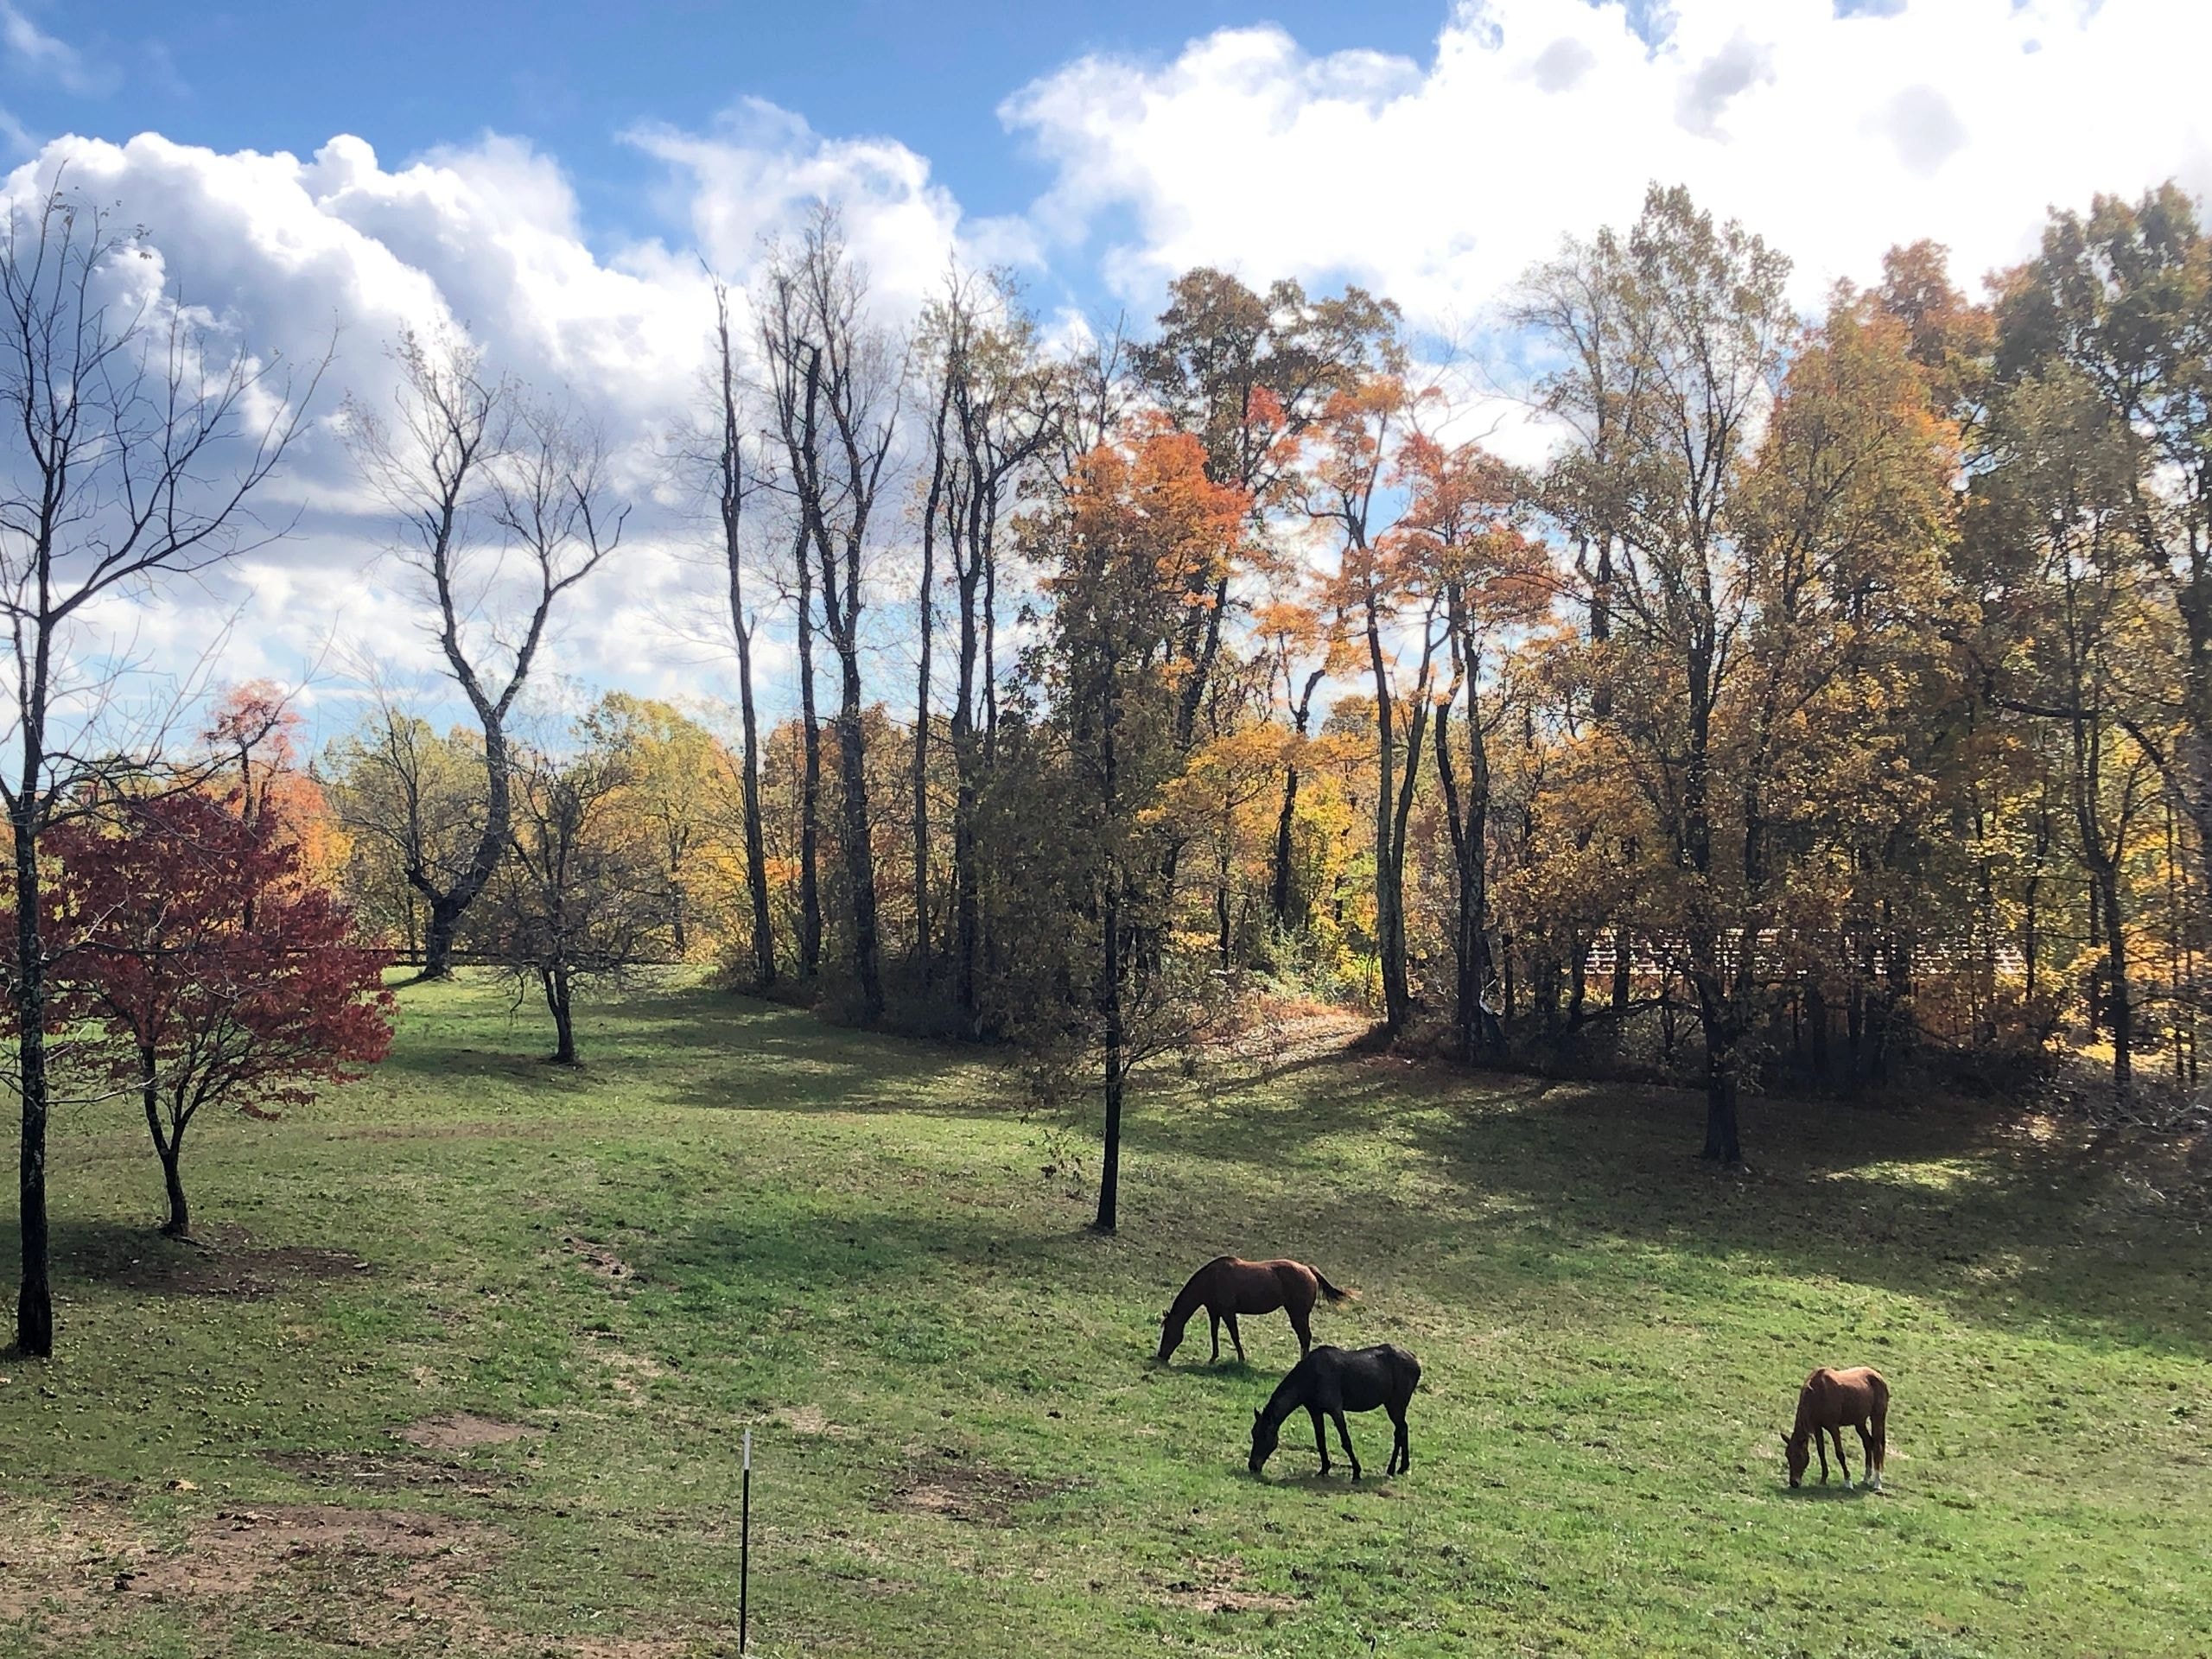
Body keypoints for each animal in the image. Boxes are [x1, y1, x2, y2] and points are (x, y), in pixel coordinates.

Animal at [1156, 1256, 1353, 1365]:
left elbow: (1234, 1335)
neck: (1212, 1279)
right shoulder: (1215, 1312)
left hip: (1298, 1314)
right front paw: (1213, 1358)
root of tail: (1309, 1270)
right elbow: (1214, 1334)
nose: (1160, 1356)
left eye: (1168, 1331)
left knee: (1305, 1337)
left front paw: (1241, 1358)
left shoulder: (1228, 1312)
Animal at [1248, 1343, 1420, 1481]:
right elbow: (1320, 1440)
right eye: (1253, 1433)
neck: (1310, 1376)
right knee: (1402, 1430)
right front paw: (1324, 1469)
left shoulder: (1335, 1410)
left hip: (1396, 1405)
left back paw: (1394, 1468)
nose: (1252, 1466)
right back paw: (1401, 1467)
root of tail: (1415, 1360)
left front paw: (1356, 1472)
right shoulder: (1315, 1412)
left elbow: (1346, 1441)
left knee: (1401, 1431)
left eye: (1264, 1435)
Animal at [1782, 1366, 1889, 1491]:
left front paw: (1848, 1482)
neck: (1818, 1394)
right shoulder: (1818, 1428)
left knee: (1877, 1447)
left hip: (1877, 1417)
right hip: (1859, 1422)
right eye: (1787, 1455)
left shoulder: (1833, 1427)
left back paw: (1877, 1483)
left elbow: (1840, 1453)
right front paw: (1823, 1480)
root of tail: (1878, 1376)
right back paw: (1866, 1478)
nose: (1794, 1483)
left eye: (1799, 1455)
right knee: (1868, 1443)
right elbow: (1821, 1451)